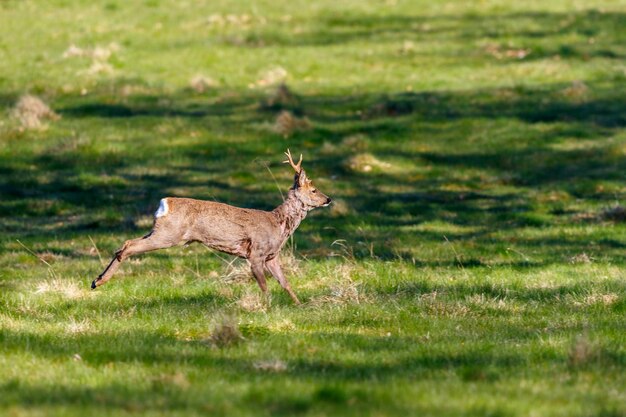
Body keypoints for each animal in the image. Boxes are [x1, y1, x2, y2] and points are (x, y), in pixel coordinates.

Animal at [91, 150, 332, 302]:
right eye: (313, 190)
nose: (328, 199)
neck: (279, 224)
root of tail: (164, 204)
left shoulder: (272, 256)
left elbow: (285, 282)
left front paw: (299, 305)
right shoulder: (256, 253)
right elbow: (264, 285)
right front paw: (268, 307)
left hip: (159, 230)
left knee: (126, 242)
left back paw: (96, 280)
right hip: (169, 235)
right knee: (128, 246)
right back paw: (99, 281)